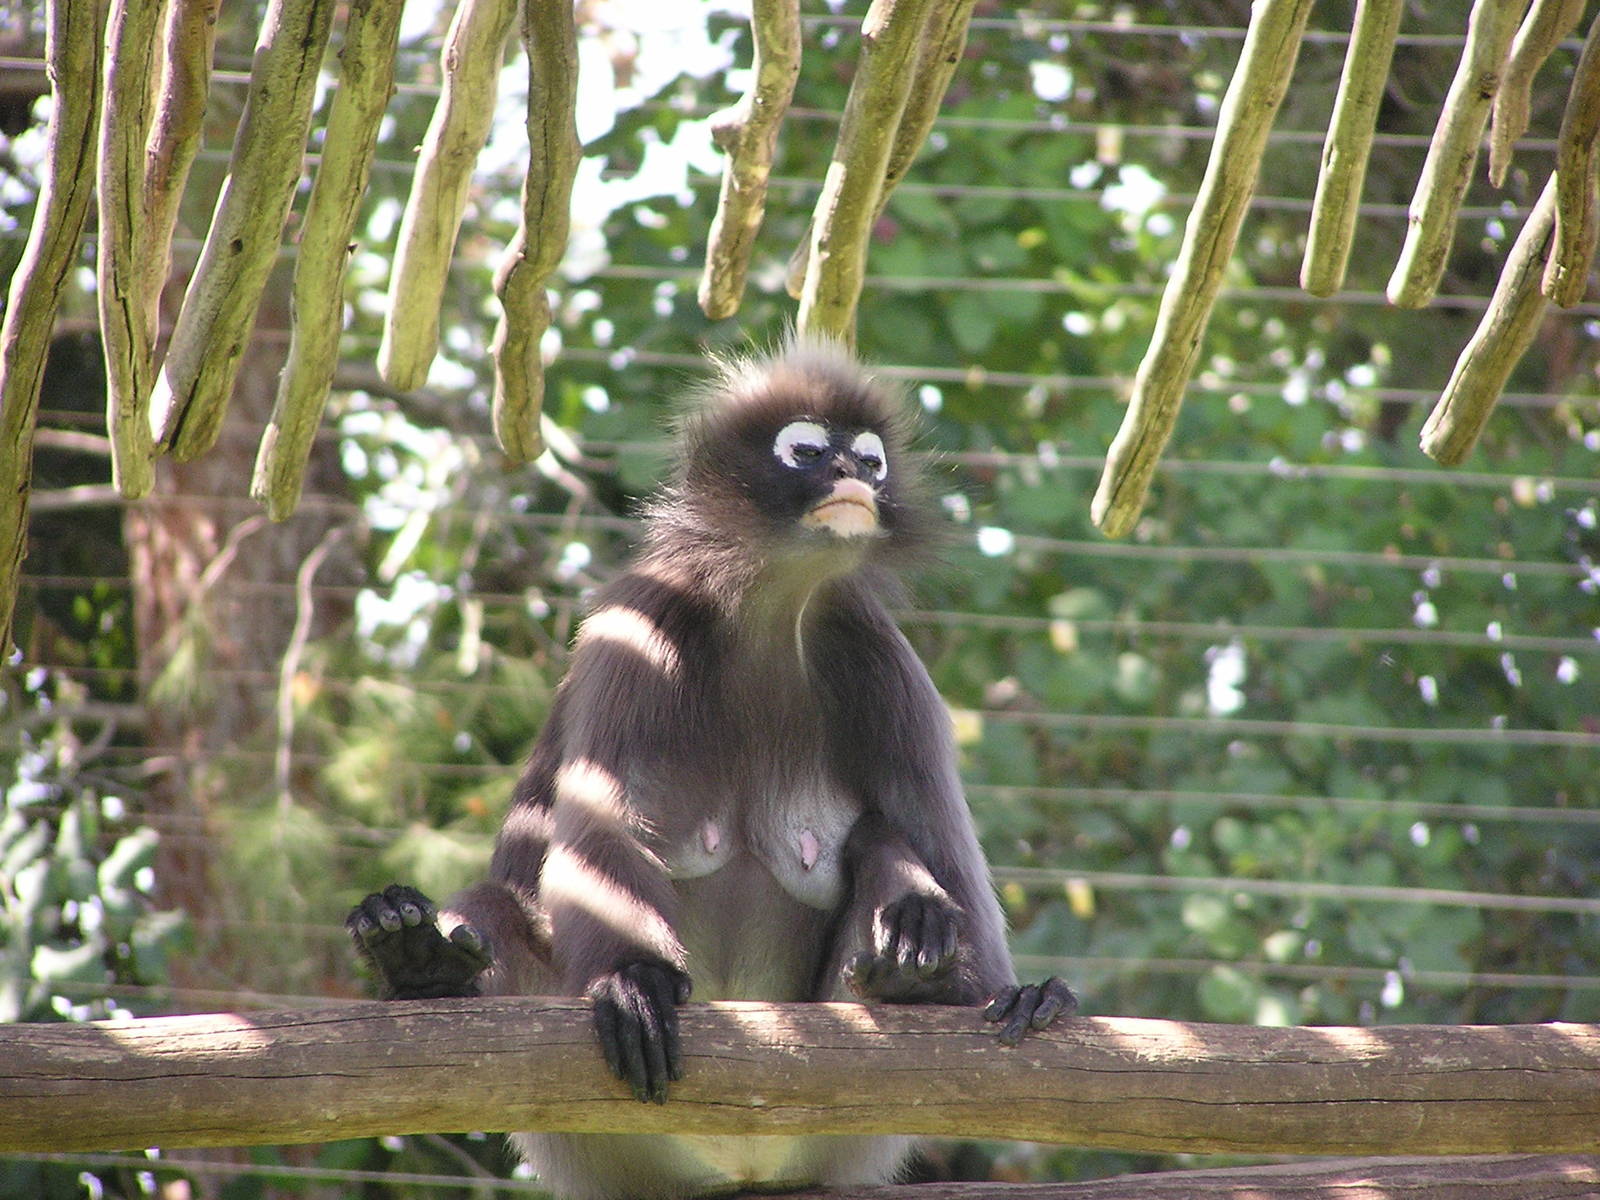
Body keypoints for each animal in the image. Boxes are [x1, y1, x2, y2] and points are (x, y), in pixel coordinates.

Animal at [349, 339, 1076, 1200]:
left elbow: (945, 852)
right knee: (497, 902)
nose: (853, 475)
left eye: (870, 459)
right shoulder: (641, 624)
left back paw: (916, 968)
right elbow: (601, 837)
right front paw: (634, 980)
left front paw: (1011, 989)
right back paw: (419, 961)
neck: (767, 610)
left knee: (882, 839)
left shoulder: (880, 660)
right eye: (808, 452)